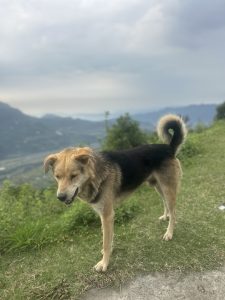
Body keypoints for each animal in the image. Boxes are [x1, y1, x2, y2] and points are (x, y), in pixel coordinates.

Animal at [43, 114, 186, 272]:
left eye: (73, 176)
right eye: (57, 176)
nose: (60, 197)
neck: (95, 176)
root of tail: (168, 148)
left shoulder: (107, 215)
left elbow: (106, 242)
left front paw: (104, 263)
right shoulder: (104, 216)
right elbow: (108, 238)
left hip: (168, 188)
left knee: (174, 212)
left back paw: (169, 232)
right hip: (158, 186)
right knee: (165, 203)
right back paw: (165, 217)